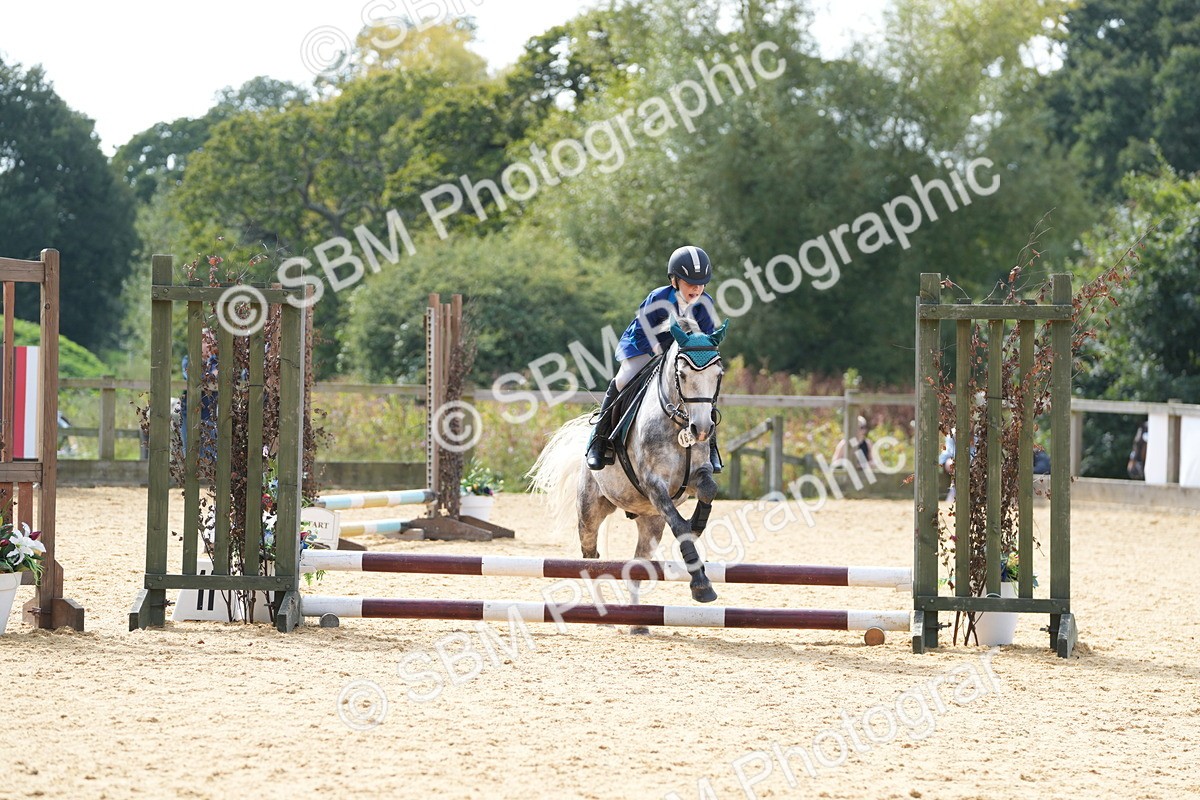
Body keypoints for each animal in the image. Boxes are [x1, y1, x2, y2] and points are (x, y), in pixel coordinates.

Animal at [529, 318, 727, 631]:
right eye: (682, 375)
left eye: (718, 374)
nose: (702, 429)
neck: (678, 421)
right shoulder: (654, 485)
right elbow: (679, 527)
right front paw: (701, 585)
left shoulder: (697, 475)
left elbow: (708, 491)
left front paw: (697, 523)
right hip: (590, 511)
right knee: (590, 558)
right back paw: (603, 617)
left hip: (651, 521)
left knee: (638, 564)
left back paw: (637, 622)